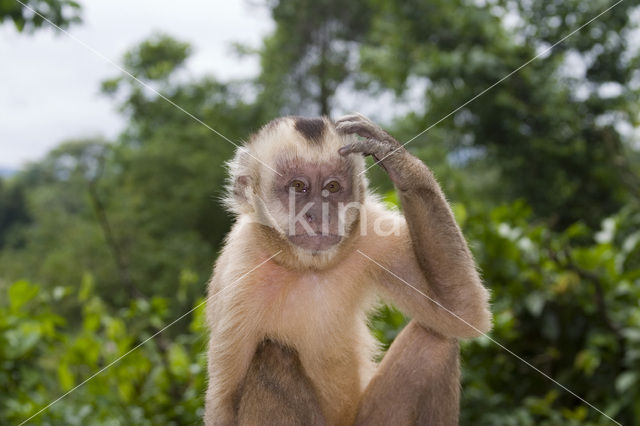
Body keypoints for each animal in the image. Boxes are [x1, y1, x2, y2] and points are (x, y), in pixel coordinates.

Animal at [205, 113, 490, 426]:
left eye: (332, 187)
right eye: (298, 186)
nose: (318, 213)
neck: (308, 267)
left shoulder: (369, 231)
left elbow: (461, 311)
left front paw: (398, 161)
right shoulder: (238, 274)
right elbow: (223, 405)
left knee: (437, 339)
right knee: (271, 355)